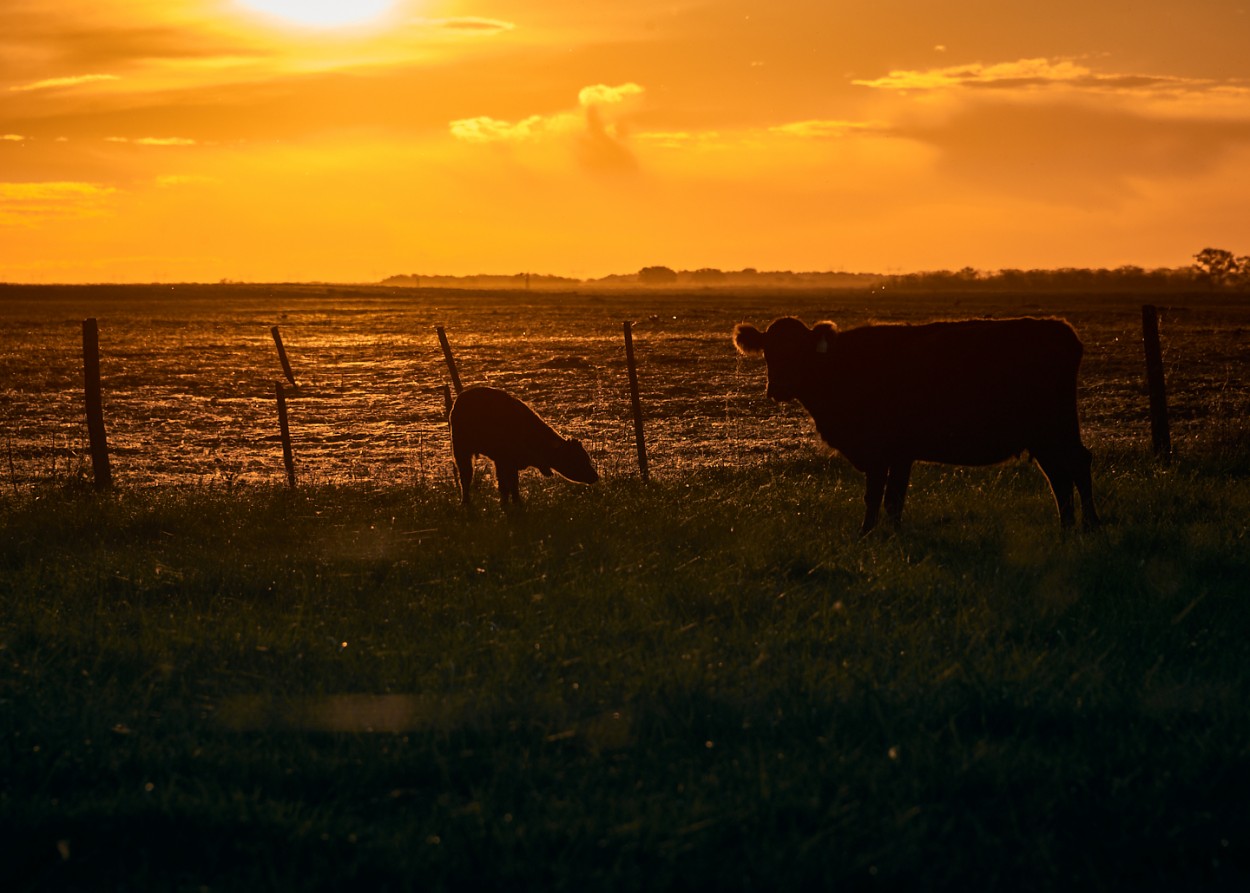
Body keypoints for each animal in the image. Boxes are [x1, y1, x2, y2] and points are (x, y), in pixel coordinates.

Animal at [450, 385, 600, 505]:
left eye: (586, 458)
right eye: (577, 460)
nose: (595, 476)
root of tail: (461, 397)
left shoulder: (512, 463)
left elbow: (513, 485)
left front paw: (517, 502)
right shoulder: (502, 460)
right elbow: (504, 485)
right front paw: (506, 505)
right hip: (461, 450)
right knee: (466, 476)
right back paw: (465, 502)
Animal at [735, 315, 1100, 532]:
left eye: (801, 351)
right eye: (768, 351)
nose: (779, 387)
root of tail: (1057, 328)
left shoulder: (884, 451)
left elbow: (879, 497)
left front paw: (867, 535)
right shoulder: (898, 454)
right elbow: (893, 499)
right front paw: (890, 536)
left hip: (1053, 429)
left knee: (1077, 466)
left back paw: (1090, 526)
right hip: (1044, 436)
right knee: (1061, 477)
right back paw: (1067, 529)